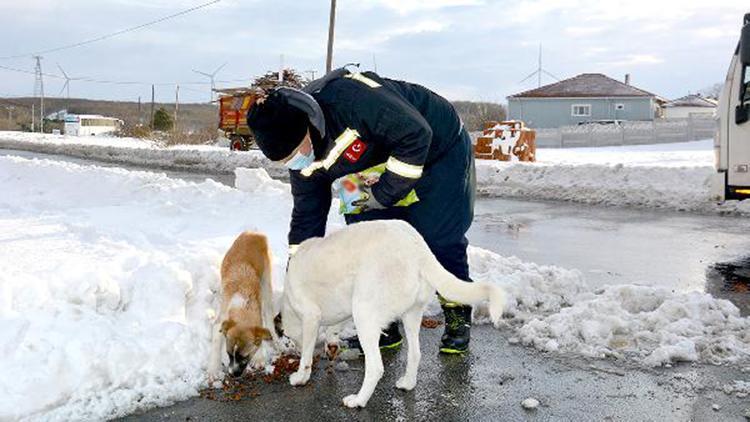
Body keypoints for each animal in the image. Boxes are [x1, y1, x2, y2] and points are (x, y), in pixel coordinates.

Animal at [209, 231, 276, 380]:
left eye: (244, 357)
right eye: (228, 354)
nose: (232, 374)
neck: (243, 305)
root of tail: (254, 233)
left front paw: (259, 357)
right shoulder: (221, 321)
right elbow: (215, 344)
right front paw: (214, 370)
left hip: (266, 283)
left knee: (269, 313)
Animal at [282, 221, 506, 408]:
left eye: (289, 338)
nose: (292, 350)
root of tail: (417, 248)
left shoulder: (311, 317)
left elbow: (307, 355)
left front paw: (300, 376)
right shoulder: (342, 308)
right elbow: (333, 329)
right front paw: (332, 343)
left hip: (364, 313)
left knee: (375, 367)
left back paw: (358, 400)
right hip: (410, 315)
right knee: (415, 353)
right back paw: (407, 383)